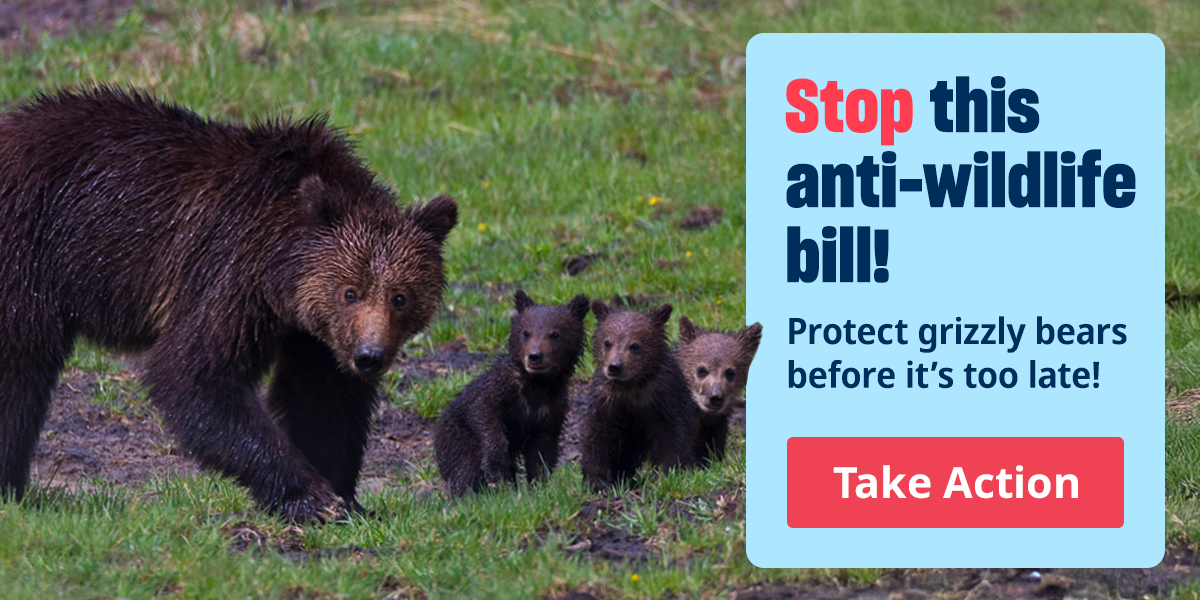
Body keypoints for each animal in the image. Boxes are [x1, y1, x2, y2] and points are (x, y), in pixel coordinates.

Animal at [0, 87, 457, 521]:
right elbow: (194, 373)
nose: (369, 357)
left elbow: (322, 398)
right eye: (350, 292)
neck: (281, 266)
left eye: (400, 297)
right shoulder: (232, 269)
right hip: (27, 254)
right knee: (21, 368)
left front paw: (346, 497)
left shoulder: (314, 332)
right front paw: (309, 496)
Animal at [434, 290, 589, 497]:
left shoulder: (552, 408)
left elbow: (542, 450)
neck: (537, 384)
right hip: (455, 438)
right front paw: (496, 473)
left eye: (555, 334)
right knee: (465, 468)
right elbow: (484, 415)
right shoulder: (500, 390)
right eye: (526, 332)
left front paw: (539, 486)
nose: (534, 356)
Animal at [579, 300, 696, 490]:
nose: (614, 366)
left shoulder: (662, 402)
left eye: (635, 345)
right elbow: (596, 436)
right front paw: (597, 481)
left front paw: (668, 474)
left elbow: (672, 436)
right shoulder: (607, 402)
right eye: (607, 342)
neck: (631, 389)